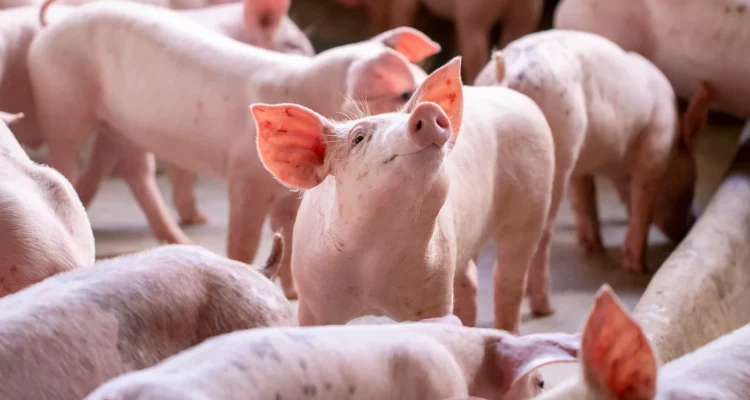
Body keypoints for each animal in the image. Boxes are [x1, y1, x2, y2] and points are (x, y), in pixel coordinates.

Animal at [28, 0, 440, 299]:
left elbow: (291, 236)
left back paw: (181, 237)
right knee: (67, 157)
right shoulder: (245, 176)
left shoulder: (289, 194)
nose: (436, 113)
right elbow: (244, 239)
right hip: (62, 97)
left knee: (134, 170)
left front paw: (293, 293)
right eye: (403, 92)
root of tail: (51, 27)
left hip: (120, 125)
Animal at [253, 57, 555, 332]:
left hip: (534, 201)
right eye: (358, 138)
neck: (374, 263)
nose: (427, 110)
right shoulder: (313, 301)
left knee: (509, 280)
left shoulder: (436, 288)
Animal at [474, 30, 711, 276]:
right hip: (558, 149)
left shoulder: (581, 164)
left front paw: (592, 245)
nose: (691, 222)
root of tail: (505, 73)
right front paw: (638, 267)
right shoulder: (656, 144)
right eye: (691, 184)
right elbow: (643, 200)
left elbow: (584, 195)